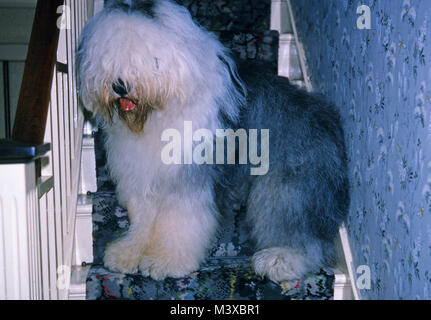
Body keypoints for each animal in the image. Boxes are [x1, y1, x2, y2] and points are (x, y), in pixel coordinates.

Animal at [76, 0, 350, 282]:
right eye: (109, 57)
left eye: (151, 59)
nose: (120, 86)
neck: (160, 112)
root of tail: (326, 116)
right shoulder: (143, 175)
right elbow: (144, 218)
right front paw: (128, 253)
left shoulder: (188, 177)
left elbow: (180, 221)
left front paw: (167, 260)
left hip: (287, 185)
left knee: (299, 231)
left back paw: (282, 259)